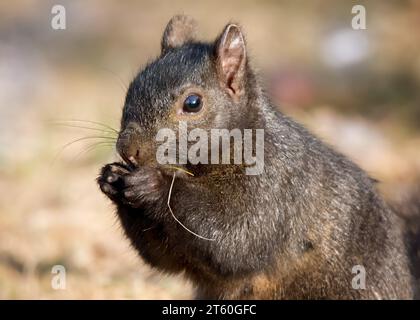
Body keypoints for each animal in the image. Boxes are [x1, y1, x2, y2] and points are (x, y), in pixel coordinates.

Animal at [97, 15, 416, 300]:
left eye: (193, 103)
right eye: (132, 88)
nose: (127, 149)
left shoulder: (276, 186)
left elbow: (238, 240)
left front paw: (155, 185)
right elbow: (166, 259)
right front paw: (111, 177)